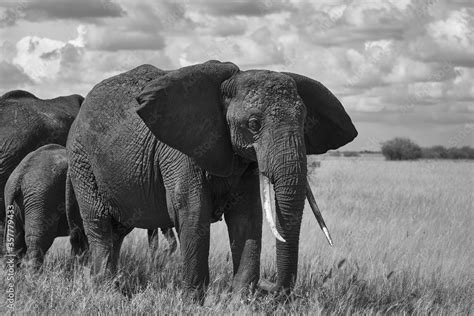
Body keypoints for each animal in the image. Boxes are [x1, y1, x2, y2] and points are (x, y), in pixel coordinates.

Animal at [65, 59, 356, 298]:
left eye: (305, 121)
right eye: (253, 124)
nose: (268, 288)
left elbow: (246, 217)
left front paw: (240, 303)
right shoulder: (179, 150)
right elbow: (193, 211)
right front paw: (192, 303)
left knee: (118, 230)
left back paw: (114, 286)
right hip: (82, 160)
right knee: (99, 223)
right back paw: (107, 292)